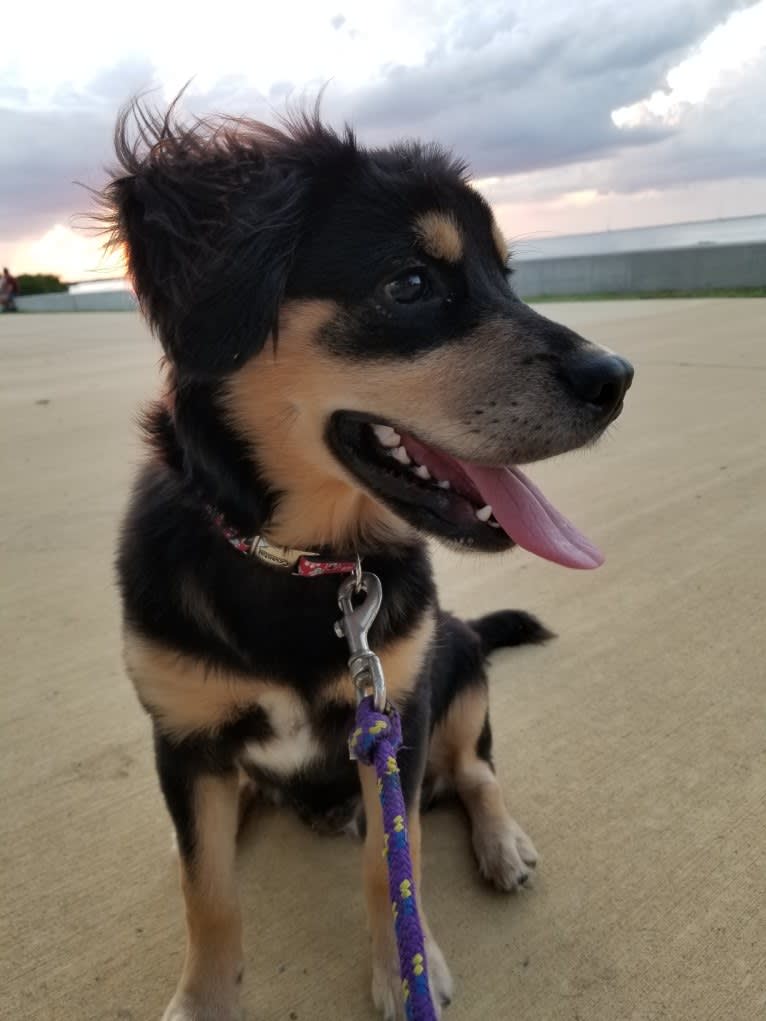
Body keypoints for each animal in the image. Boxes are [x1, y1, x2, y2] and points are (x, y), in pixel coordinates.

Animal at [106, 103, 637, 1021]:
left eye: (507, 276)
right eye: (411, 284)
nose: (619, 379)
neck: (304, 564)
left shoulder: (400, 712)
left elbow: (398, 855)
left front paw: (405, 962)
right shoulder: (182, 735)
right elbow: (206, 888)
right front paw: (205, 997)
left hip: (457, 660)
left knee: (475, 770)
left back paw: (500, 842)